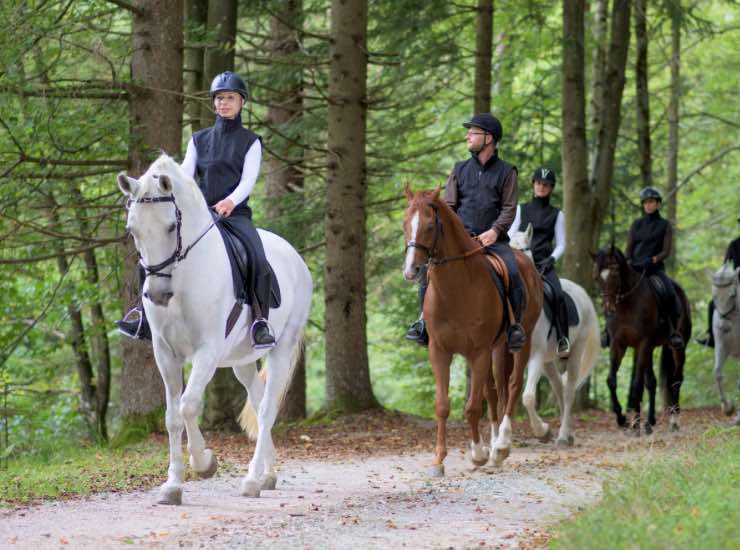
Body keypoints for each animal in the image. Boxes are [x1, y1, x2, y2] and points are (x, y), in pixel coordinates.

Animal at [116, 154, 312, 504]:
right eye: (132, 229)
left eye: (171, 226)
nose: (157, 294)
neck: (183, 277)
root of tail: (295, 257)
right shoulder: (165, 353)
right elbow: (172, 417)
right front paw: (173, 485)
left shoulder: (206, 351)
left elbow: (189, 405)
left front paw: (204, 462)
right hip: (242, 360)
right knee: (258, 400)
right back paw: (268, 475)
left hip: (282, 347)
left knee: (267, 408)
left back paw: (252, 480)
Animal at [402, 187, 540, 478]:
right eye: (405, 224)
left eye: (430, 226)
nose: (411, 271)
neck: (456, 289)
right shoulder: (440, 352)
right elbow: (443, 406)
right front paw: (439, 461)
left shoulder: (478, 352)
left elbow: (473, 407)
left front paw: (478, 454)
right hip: (496, 349)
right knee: (495, 391)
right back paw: (495, 445)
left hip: (521, 342)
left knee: (512, 386)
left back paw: (501, 446)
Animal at [508, 226, 600, 446]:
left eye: (525, 249)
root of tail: (583, 293)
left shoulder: (535, 357)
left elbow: (528, 397)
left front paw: (542, 431)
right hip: (548, 360)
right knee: (559, 387)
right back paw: (568, 433)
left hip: (575, 353)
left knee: (569, 391)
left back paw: (563, 436)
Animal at [592, 247, 692, 436]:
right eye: (596, 278)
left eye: (615, 273)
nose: (609, 310)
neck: (626, 304)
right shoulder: (618, 345)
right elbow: (612, 381)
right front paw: (624, 420)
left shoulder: (643, 343)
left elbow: (637, 384)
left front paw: (635, 424)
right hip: (649, 350)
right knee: (652, 382)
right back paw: (649, 422)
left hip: (677, 348)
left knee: (676, 380)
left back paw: (674, 422)